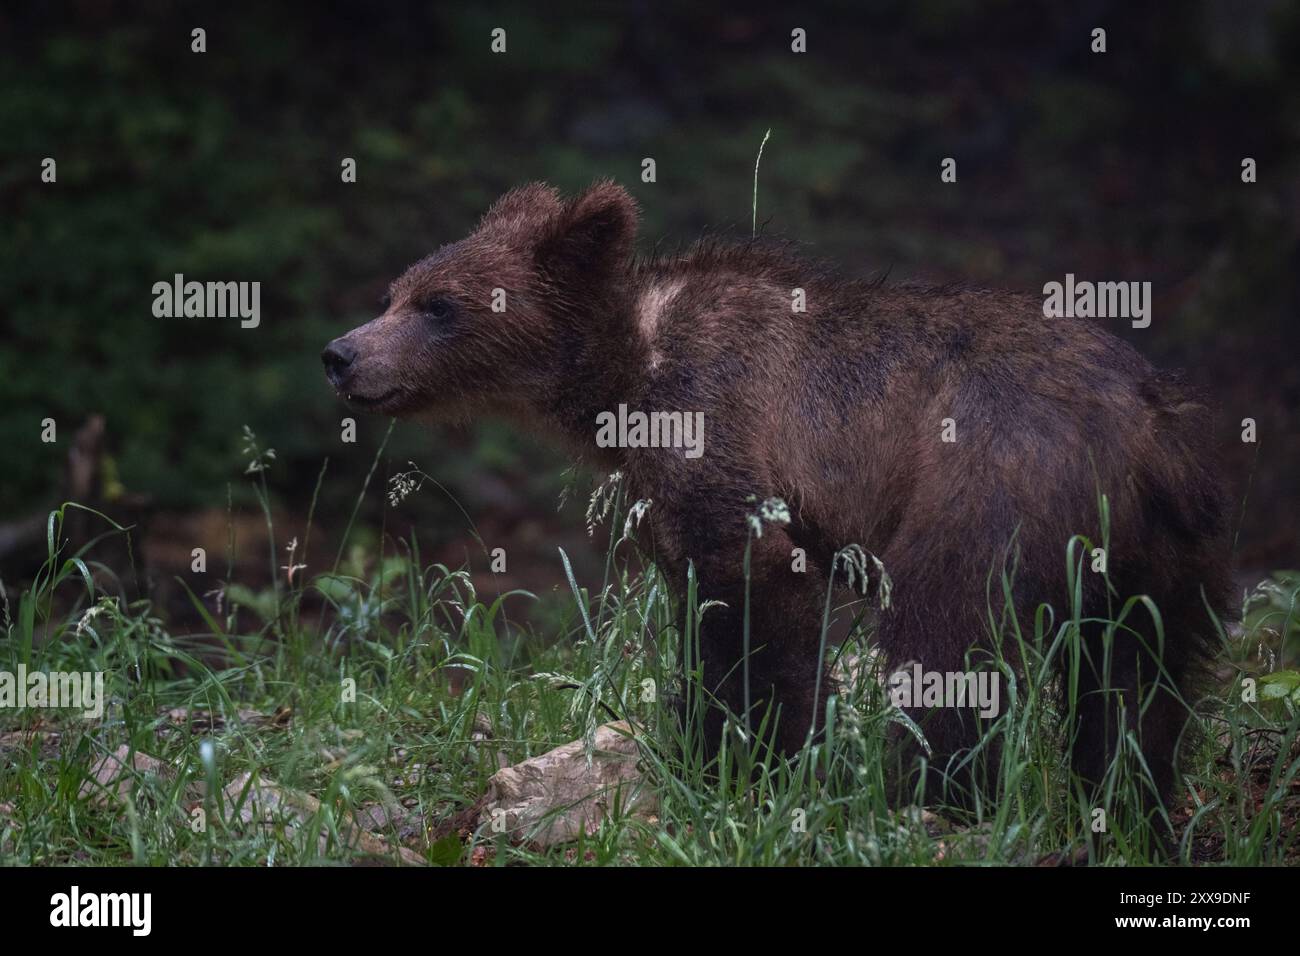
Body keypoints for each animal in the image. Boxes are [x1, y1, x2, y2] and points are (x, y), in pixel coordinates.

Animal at [322, 180, 1232, 811]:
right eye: (396, 292)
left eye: (439, 305)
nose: (342, 354)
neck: (628, 372)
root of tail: (1144, 422)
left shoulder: (718, 427)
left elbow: (756, 602)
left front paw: (746, 759)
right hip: (1163, 542)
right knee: (1140, 676)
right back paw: (1127, 801)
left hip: (991, 480)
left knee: (947, 632)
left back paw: (932, 793)